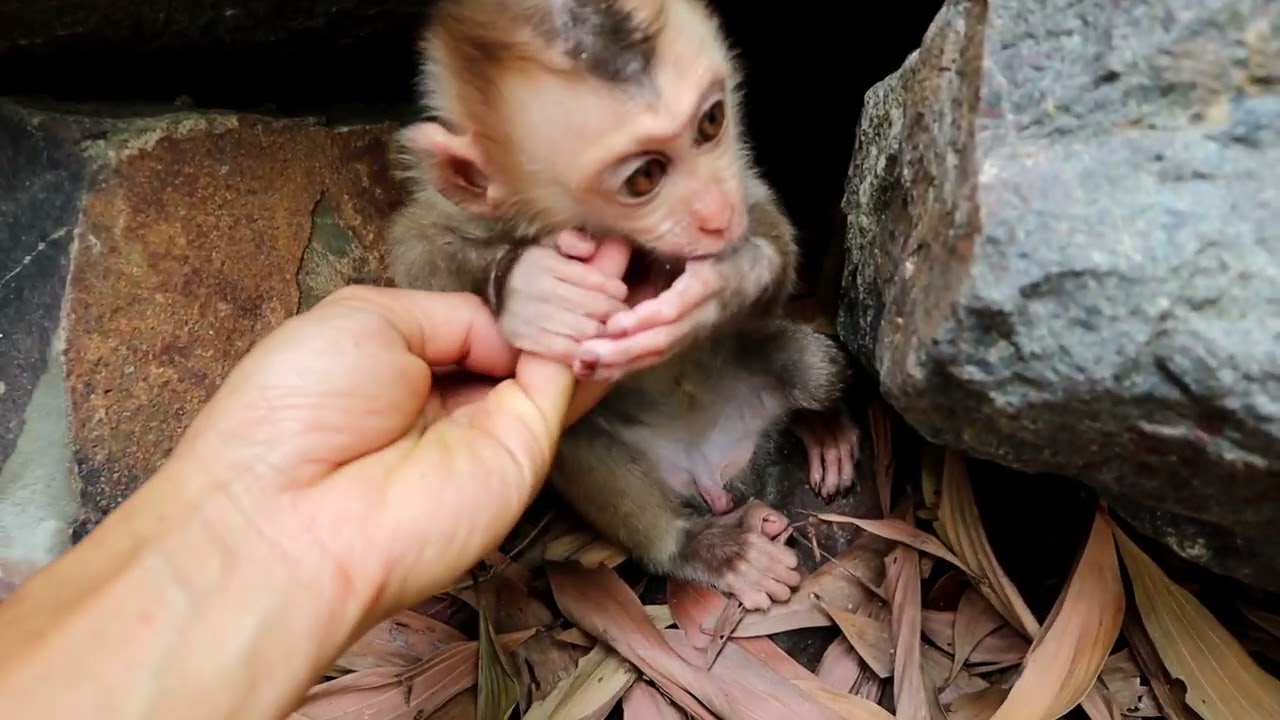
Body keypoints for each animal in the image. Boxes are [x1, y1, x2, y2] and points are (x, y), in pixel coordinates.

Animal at [385, 0, 861, 610]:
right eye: (644, 177)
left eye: (712, 123)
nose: (718, 212)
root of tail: (708, 465)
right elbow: (415, 248)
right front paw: (531, 289)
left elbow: (773, 230)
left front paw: (723, 282)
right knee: (572, 441)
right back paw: (699, 547)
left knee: (814, 369)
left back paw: (821, 424)